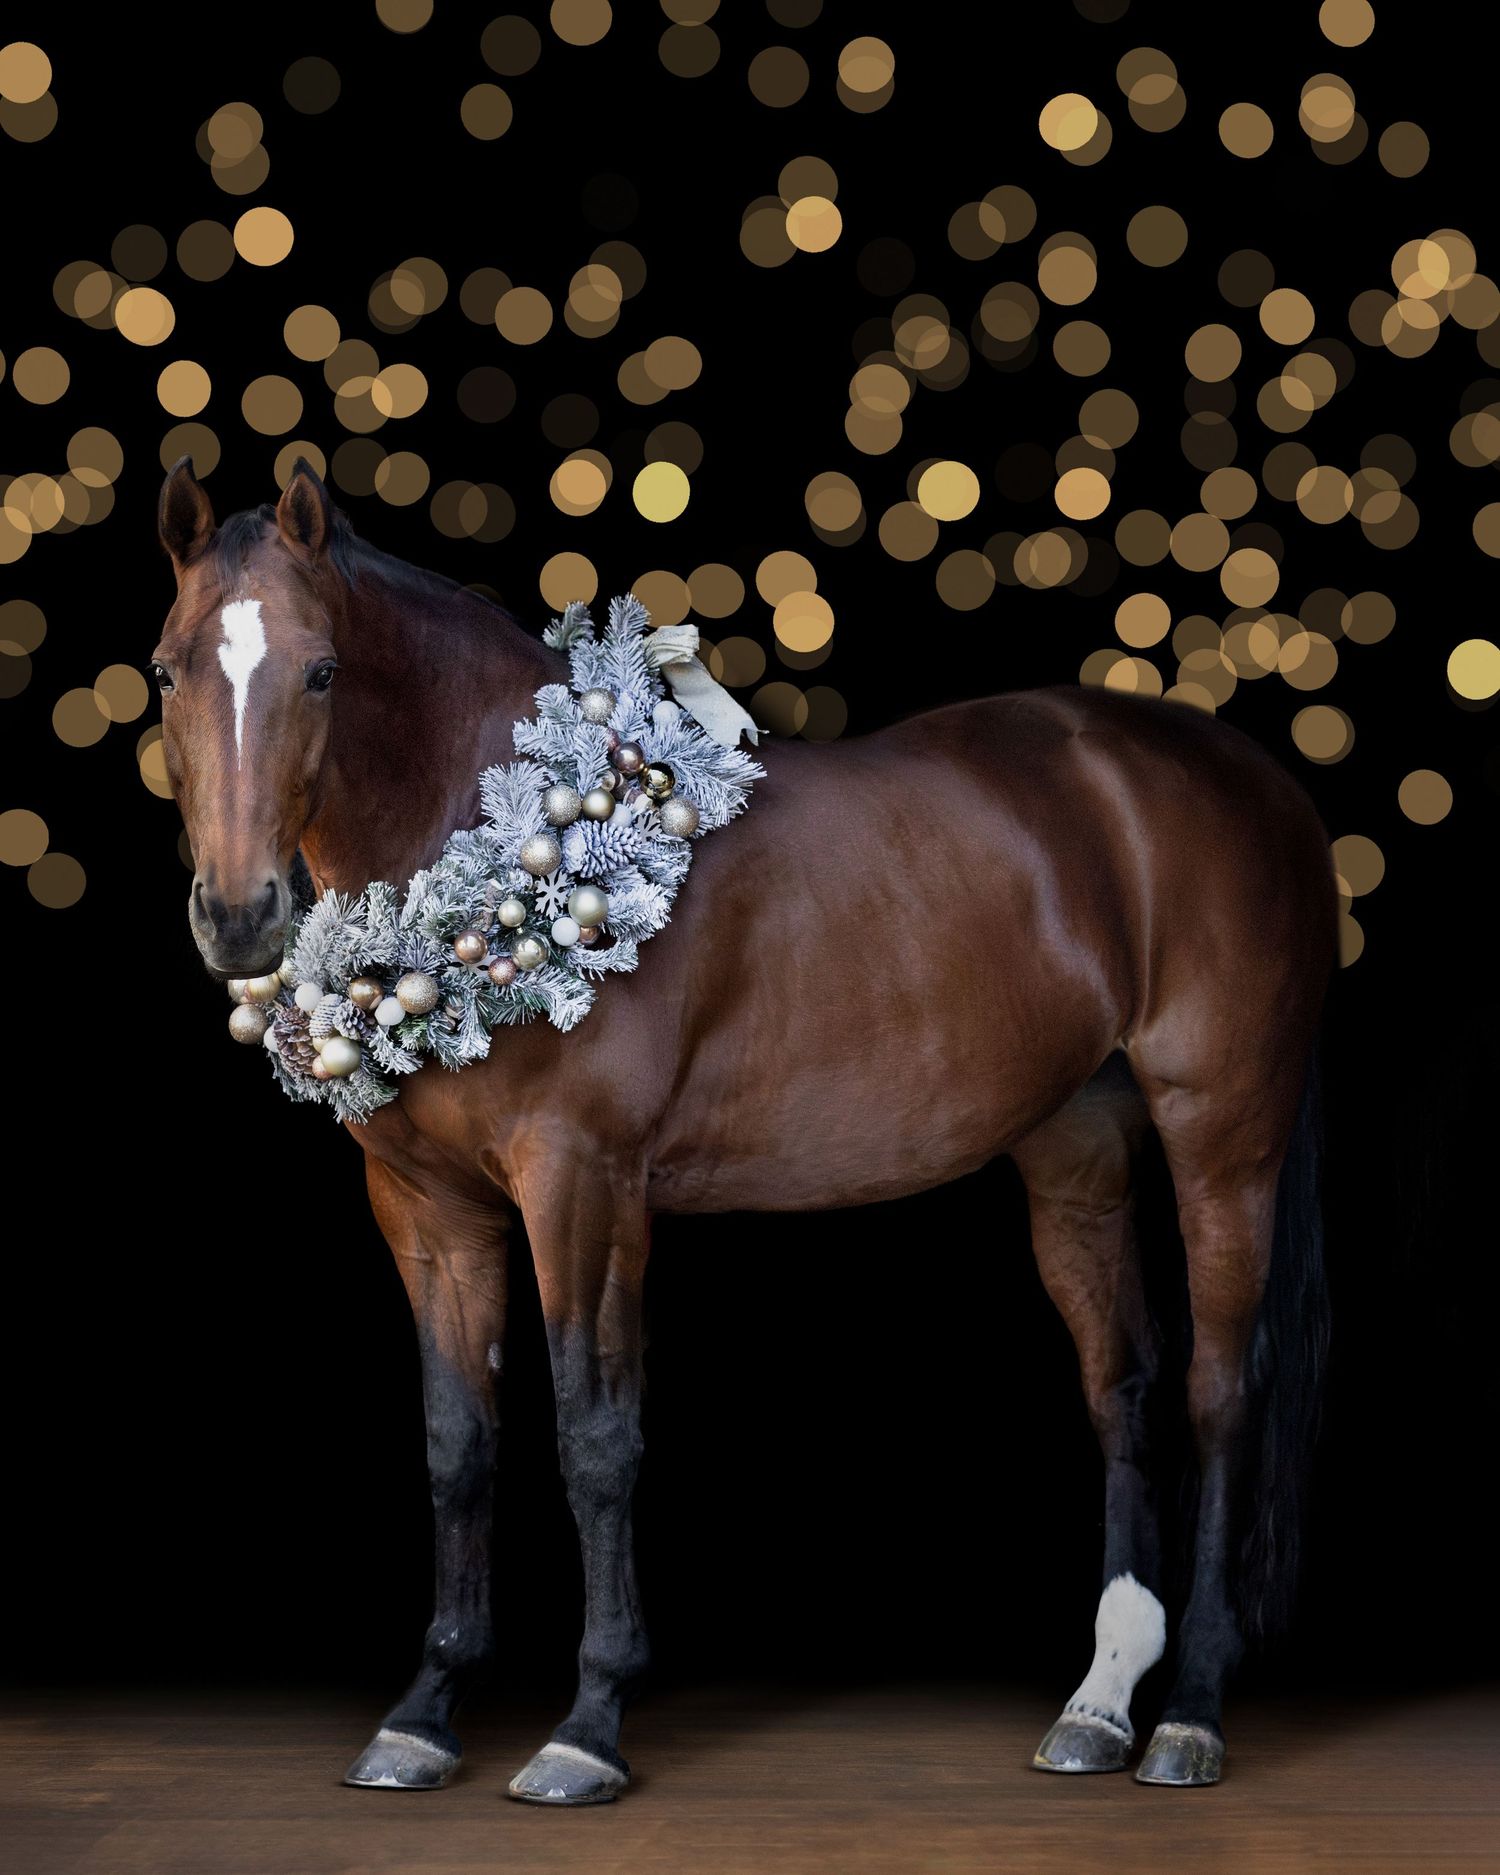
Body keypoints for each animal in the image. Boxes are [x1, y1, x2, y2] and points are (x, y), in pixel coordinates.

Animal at [150, 454, 1335, 1801]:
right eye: (167, 671)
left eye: (321, 671)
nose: (239, 915)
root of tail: (1247, 775)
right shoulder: (427, 1211)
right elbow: (459, 1441)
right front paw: (425, 1713)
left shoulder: (584, 1189)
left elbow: (594, 1436)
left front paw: (587, 1723)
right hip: (1075, 1149)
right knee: (1123, 1386)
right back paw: (1099, 1703)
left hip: (1223, 1136)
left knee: (1219, 1393)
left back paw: (1190, 1711)